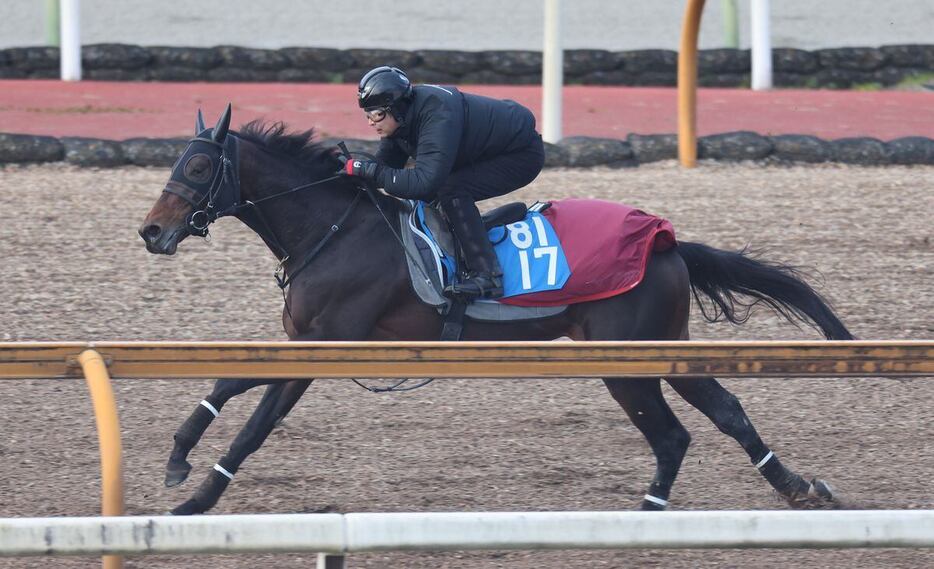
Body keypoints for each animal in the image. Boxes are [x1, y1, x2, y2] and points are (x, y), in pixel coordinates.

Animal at [137, 106, 856, 516]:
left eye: (197, 166)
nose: (151, 231)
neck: (331, 228)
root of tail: (667, 240)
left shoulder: (329, 339)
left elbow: (256, 423)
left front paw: (198, 499)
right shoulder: (308, 339)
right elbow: (229, 381)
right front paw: (179, 457)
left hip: (626, 356)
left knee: (676, 432)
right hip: (662, 346)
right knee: (721, 413)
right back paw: (793, 487)